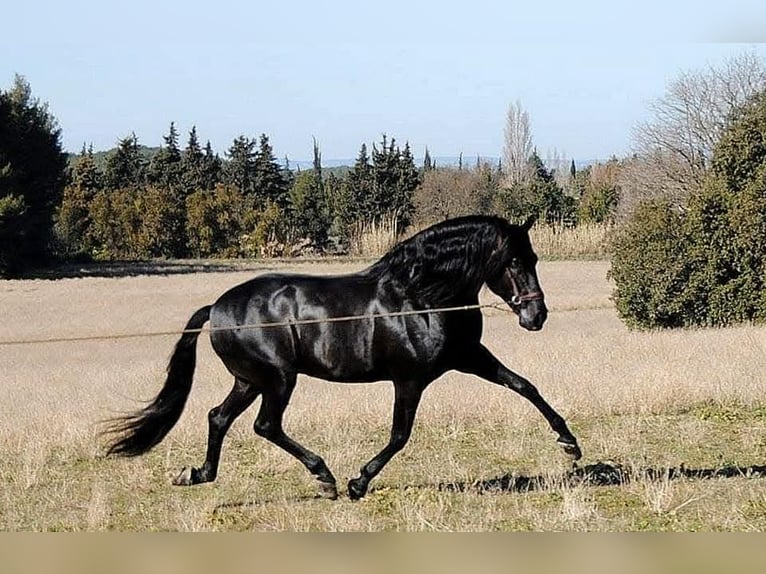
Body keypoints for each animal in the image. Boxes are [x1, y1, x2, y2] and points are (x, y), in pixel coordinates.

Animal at [105, 214, 581, 500]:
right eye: (514, 261)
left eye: (534, 257)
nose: (537, 316)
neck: (422, 298)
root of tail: (217, 308)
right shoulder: (410, 379)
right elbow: (400, 435)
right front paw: (358, 482)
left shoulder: (469, 357)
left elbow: (524, 385)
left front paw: (570, 444)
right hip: (277, 379)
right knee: (265, 425)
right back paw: (326, 478)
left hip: (249, 380)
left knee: (218, 418)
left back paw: (197, 474)